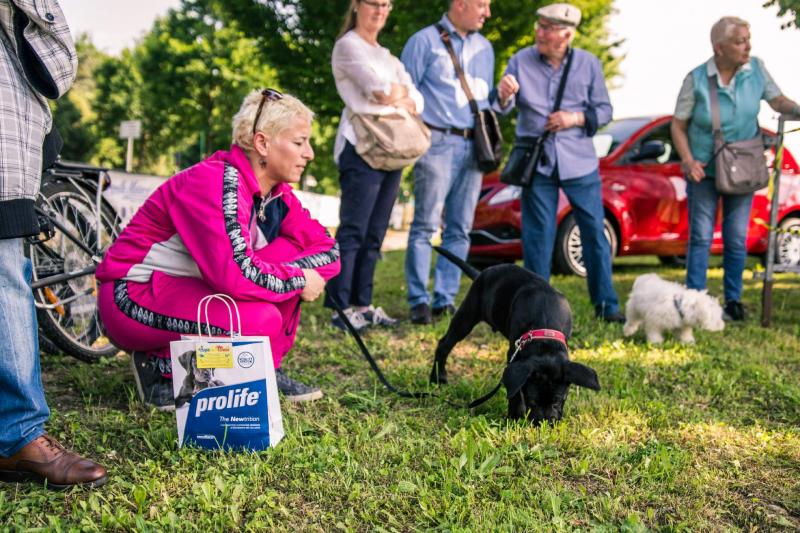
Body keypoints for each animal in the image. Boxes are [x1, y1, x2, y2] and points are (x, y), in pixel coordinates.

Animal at [432, 246, 600, 424]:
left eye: (558, 400)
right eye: (532, 400)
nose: (544, 423)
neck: (545, 329)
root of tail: (481, 273)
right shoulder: (513, 352)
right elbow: (515, 390)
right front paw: (515, 415)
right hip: (467, 315)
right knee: (444, 344)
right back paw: (437, 378)